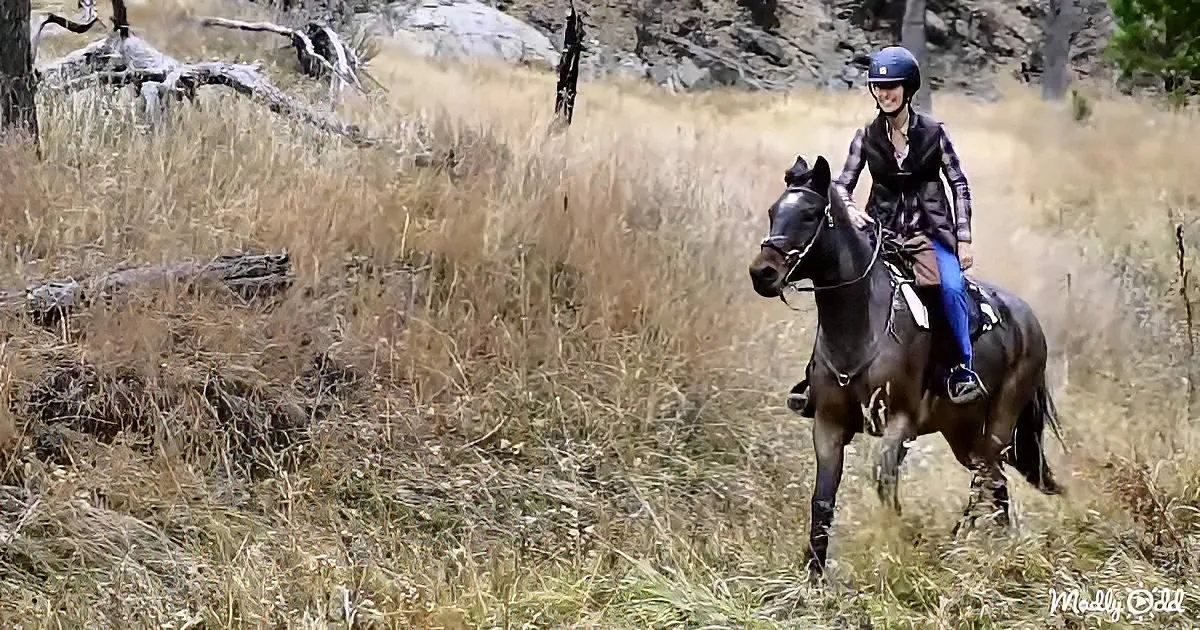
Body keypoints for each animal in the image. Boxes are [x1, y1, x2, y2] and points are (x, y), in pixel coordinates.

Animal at [746, 154, 1066, 581]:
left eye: (811, 214)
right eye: (773, 212)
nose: (762, 273)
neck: (860, 324)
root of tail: (1030, 321)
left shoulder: (900, 423)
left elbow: (886, 485)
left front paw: (895, 546)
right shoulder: (828, 425)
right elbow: (823, 498)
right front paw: (813, 574)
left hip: (1001, 419)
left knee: (986, 476)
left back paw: (960, 540)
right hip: (962, 431)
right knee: (993, 480)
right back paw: (991, 544)